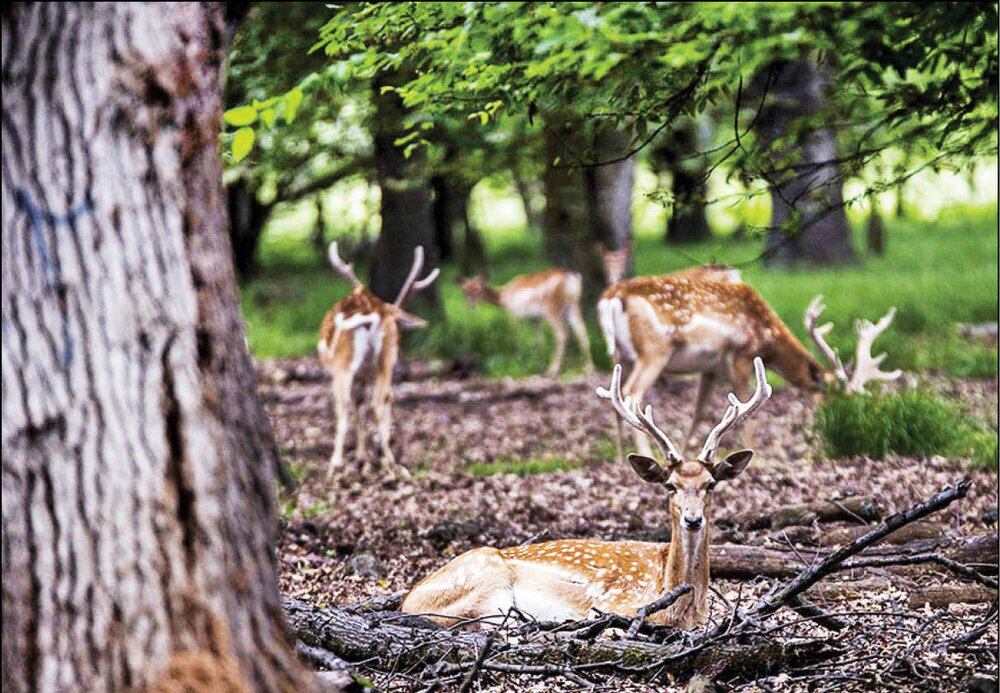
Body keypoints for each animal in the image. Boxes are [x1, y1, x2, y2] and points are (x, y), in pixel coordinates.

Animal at [314, 242, 436, 476]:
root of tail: (374, 312)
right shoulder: (365, 374)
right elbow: (363, 404)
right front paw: (365, 456)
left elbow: (356, 404)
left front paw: (361, 457)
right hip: (384, 361)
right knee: (382, 398)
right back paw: (389, 461)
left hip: (346, 363)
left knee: (352, 403)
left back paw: (341, 463)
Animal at [400, 356, 772, 628]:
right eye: (670, 485)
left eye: (711, 484)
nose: (693, 519)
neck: (682, 607)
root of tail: (407, 603)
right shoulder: (612, 604)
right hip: (487, 584)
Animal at [460, 270, 592, 376]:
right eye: (465, 290)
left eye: (477, 288)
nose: (470, 305)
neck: (503, 297)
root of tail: (571, 278)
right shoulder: (535, 319)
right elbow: (538, 341)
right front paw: (536, 362)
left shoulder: (514, 315)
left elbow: (514, 338)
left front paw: (516, 362)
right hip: (574, 306)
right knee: (582, 332)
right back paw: (588, 369)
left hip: (551, 309)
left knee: (562, 333)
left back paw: (552, 371)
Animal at [592, 276, 900, 460]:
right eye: (835, 398)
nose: (848, 425)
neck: (767, 336)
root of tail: (612, 298)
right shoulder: (741, 355)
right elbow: (745, 407)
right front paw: (755, 454)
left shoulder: (710, 368)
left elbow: (699, 412)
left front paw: (689, 452)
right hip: (655, 351)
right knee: (632, 394)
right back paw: (645, 453)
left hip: (620, 356)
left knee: (615, 395)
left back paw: (620, 456)